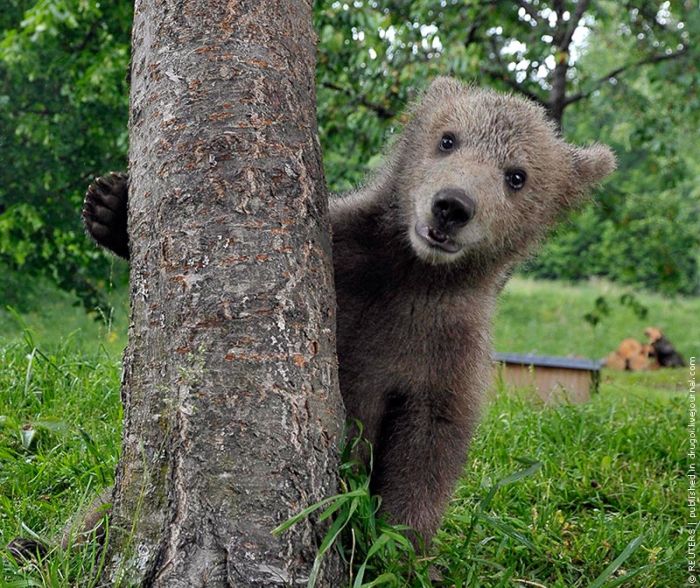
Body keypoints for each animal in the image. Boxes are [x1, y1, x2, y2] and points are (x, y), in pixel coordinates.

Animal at [82, 77, 612, 548]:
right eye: (448, 139)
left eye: (516, 175)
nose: (452, 206)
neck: (413, 273)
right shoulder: (345, 257)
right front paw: (109, 205)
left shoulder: (446, 347)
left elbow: (428, 449)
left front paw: (395, 546)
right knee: (100, 515)